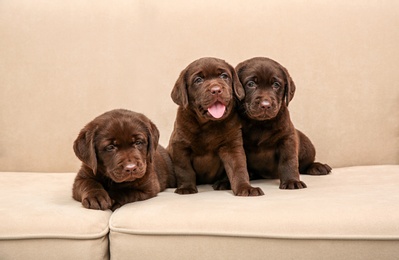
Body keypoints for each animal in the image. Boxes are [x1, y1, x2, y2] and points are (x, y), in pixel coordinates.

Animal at [167, 56, 264, 195]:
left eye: (224, 76)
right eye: (198, 80)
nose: (216, 90)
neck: (208, 124)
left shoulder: (232, 146)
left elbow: (238, 168)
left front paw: (245, 188)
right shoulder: (179, 146)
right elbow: (184, 170)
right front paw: (186, 188)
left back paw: (223, 184)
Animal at [236, 57, 332, 189]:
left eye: (276, 85)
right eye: (250, 84)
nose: (265, 105)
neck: (260, 124)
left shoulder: (287, 138)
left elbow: (288, 161)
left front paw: (292, 181)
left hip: (307, 147)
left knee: (304, 165)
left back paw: (318, 166)